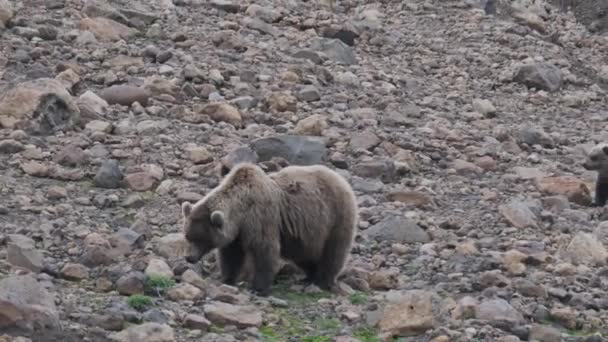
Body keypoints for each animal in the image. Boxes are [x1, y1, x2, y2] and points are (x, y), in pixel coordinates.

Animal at [183, 162, 358, 296]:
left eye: (201, 238)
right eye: (187, 236)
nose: (189, 257)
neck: (241, 212)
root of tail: (340, 178)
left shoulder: (260, 218)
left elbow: (264, 251)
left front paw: (258, 288)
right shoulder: (236, 233)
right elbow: (231, 255)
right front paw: (227, 279)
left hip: (335, 216)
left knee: (333, 251)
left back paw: (322, 281)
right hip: (303, 234)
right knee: (304, 254)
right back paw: (309, 276)